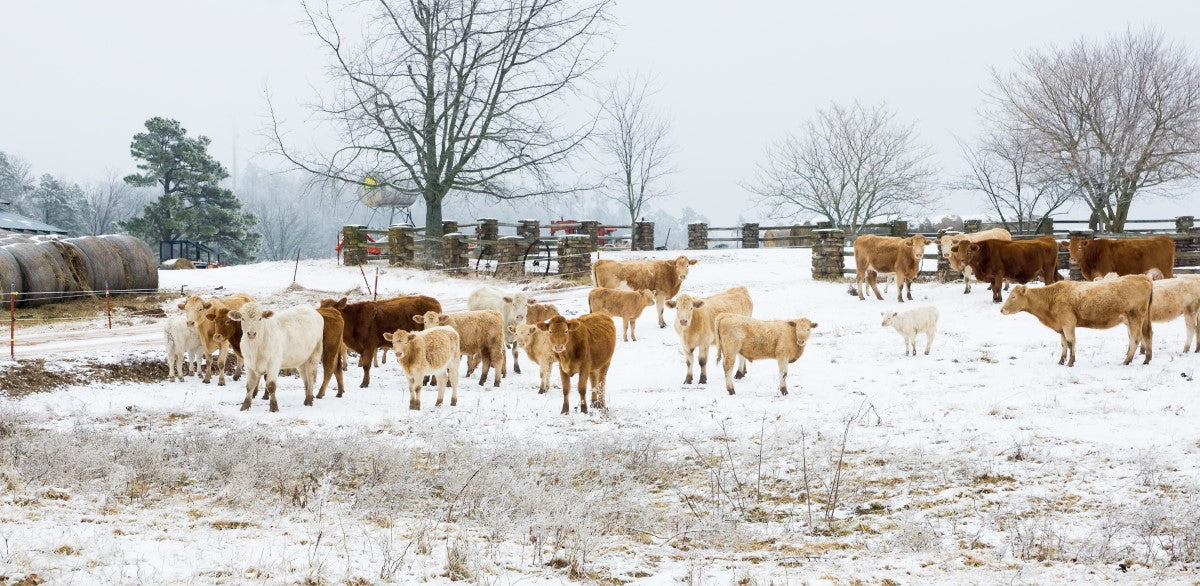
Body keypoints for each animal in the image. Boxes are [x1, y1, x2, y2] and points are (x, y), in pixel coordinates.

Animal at [993, 274, 1152, 365]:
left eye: (1013, 297)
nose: (1002, 310)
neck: (1051, 298)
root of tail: (1142, 277)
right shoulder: (1062, 326)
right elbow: (1063, 344)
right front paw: (1061, 361)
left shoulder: (1068, 323)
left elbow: (1070, 342)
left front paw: (1070, 362)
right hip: (1142, 320)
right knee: (1147, 335)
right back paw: (1146, 360)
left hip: (1134, 318)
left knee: (1135, 339)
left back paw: (1127, 361)